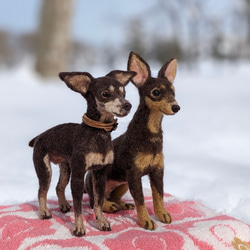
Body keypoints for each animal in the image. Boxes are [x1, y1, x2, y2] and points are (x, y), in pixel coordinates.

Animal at [28, 69, 136, 235]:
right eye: (105, 94)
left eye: (123, 93)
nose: (128, 105)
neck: (98, 132)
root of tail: (39, 136)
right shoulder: (78, 176)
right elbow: (78, 207)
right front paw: (79, 227)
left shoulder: (100, 174)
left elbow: (98, 202)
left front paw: (101, 222)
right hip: (44, 169)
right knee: (42, 191)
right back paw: (44, 212)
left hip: (66, 168)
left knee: (59, 186)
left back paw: (63, 205)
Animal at [86, 52, 180, 230]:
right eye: (156, 92)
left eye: (174, 92)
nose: (176, 107)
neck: (151, 133)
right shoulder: (134, 173)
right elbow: (141, 200)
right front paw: (146, 221)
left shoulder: (157, 171)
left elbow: (158, 195)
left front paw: (162, 214)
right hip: (102, 182)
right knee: (95, 201)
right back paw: (109, 206)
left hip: (123, 182)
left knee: (113, 197)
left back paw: (121, 204)